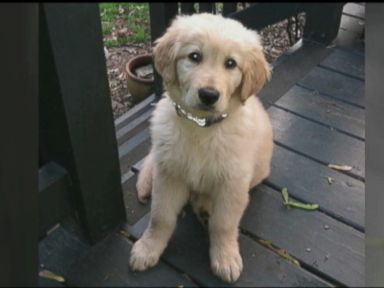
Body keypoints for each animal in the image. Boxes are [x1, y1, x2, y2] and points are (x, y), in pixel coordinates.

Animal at [129, 12, 272, 282]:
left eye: (231, 63)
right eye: (194, 56)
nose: (208, 95)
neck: (201, 127)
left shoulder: (233, 184)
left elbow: (224, 224)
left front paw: (225, 257)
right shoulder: (169, 175)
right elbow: (160, 217)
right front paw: (148, 247)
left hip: (258, 172)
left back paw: (205, 208)